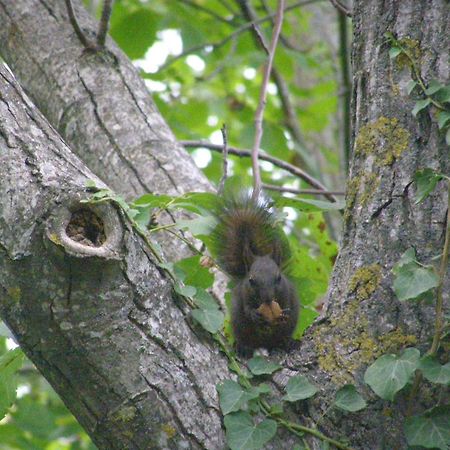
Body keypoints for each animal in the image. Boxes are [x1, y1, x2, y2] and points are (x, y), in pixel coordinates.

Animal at [214, 192, 300, 356]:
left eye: (279, 278)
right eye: (251, 280)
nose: (267, 298)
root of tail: (264, 344)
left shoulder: (287, 292)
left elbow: (287, 304)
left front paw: (285, 312)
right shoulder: (244, 294)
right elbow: (247, 308)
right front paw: (254, 314)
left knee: (281, 339)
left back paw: (288, 343)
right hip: (241, 328)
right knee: (247, 341)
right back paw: (243, 348)